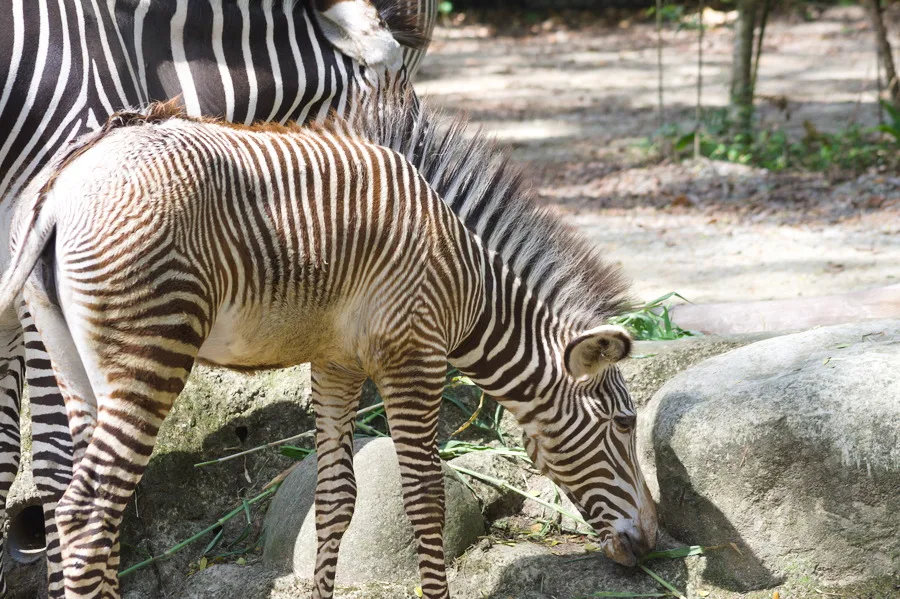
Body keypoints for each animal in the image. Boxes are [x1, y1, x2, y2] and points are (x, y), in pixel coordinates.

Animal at [0, 93, 658, 598]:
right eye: (625, 424)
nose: (652, 540)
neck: (468, 281)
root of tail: (62, 185)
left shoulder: (336, 362)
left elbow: (336, 499)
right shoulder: (414, 358)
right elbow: (425, 498)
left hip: (72, 361)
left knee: (77, 500)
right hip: (151, 350)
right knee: (88, 509)